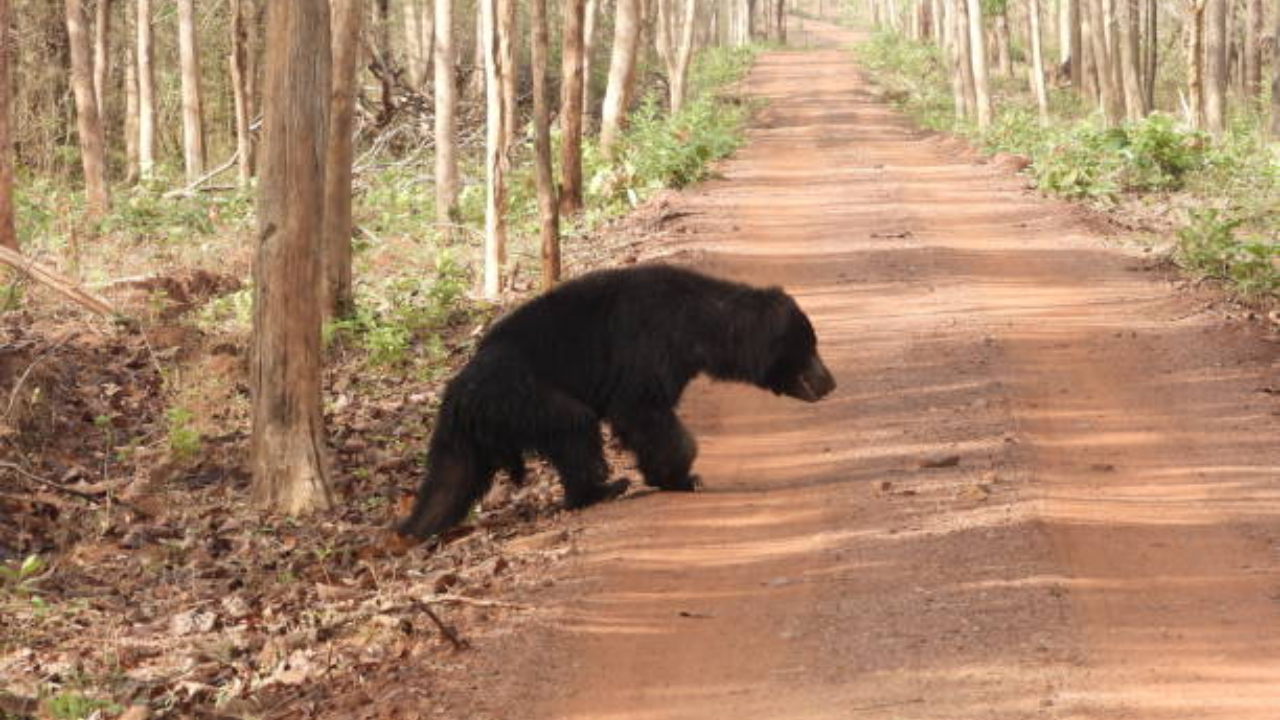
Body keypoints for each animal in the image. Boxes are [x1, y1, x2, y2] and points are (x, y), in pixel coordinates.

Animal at [399, 262, 839, 538]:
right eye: (810, 348)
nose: (831, 383)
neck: (699, 325)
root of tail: (458, 394)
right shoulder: (648, 347)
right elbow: (642, 411)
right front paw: (682, 477)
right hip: (524, 395)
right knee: (573, 427)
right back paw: (605, 488)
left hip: (475, 433)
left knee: (451, 480)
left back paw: (411, 531)